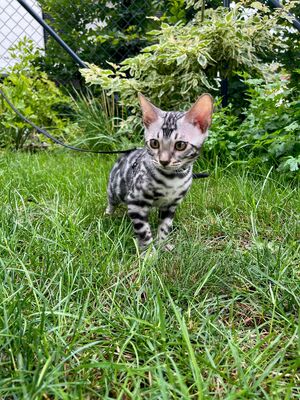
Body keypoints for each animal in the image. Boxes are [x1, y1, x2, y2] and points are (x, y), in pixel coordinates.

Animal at [105, 93, 213, 250]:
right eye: (154, 143)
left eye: (180, 145)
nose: (163, 161)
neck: (173, 179)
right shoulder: (136, 202)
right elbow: (144, 233)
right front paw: (148, 252)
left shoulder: (171, 205)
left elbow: (165, 227)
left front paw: (162, 245)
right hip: (115, 189)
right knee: (111, 201)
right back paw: (108, 216)